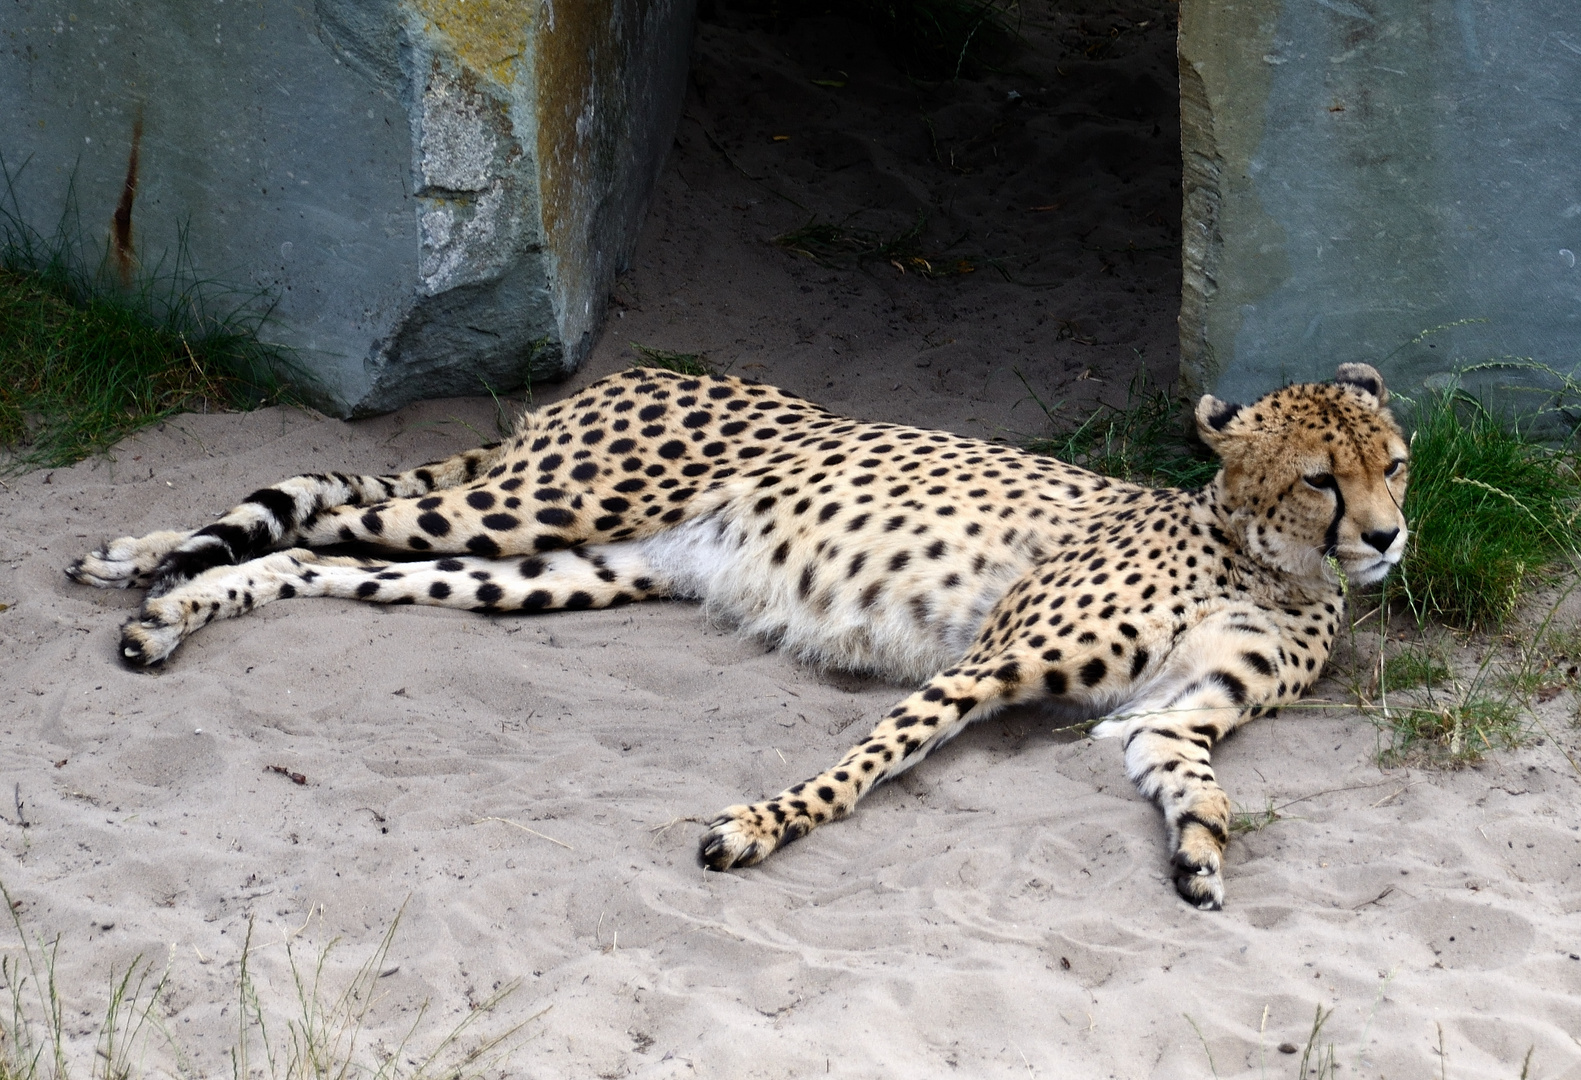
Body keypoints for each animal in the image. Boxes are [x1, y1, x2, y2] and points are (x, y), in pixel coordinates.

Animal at [71, 365, 1410, 910]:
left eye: (1394, 463)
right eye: (1321, 480)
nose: (1393, 539)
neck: (1266, 556)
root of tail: (621, 375)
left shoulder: (1167, 717)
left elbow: (1188, 777)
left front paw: (1201, 856)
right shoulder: (988, 663)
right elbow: (864, 762)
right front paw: (759, 826)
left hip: (559, 572)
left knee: (320, 557)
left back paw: (167, 612)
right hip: (531, 505)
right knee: (314, 503)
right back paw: (142, 565)